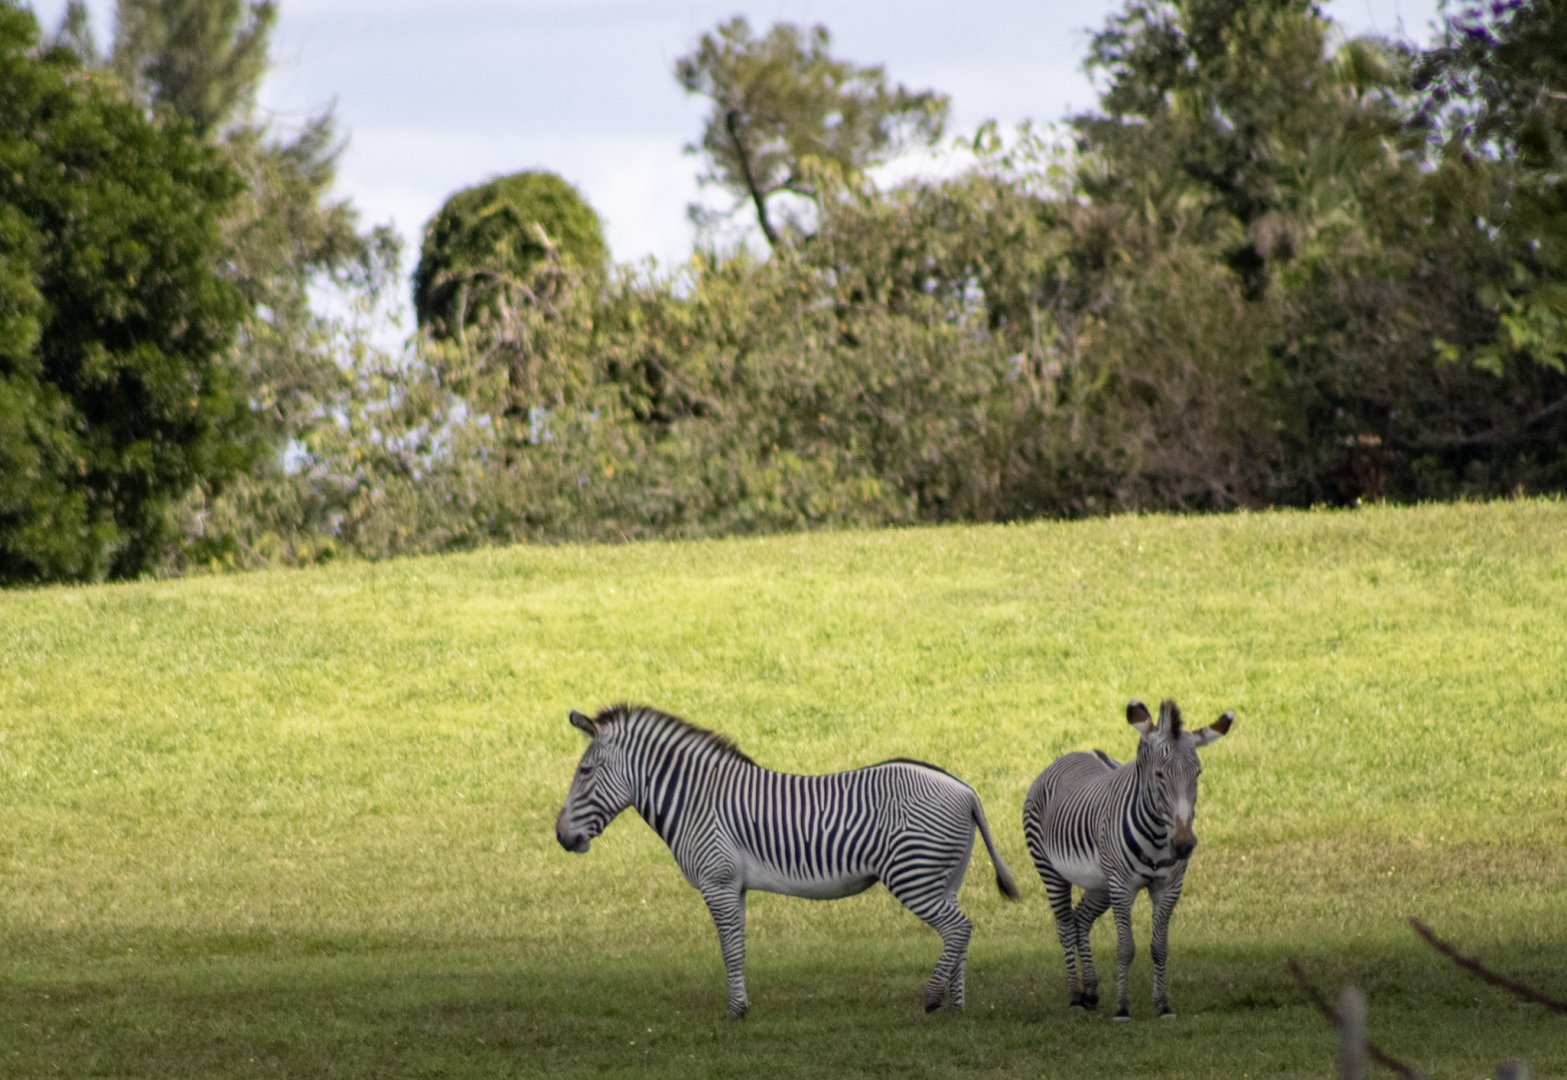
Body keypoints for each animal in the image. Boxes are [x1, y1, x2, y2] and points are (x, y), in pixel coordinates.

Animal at [555, 704, 1020, 1017]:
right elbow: (739, 946)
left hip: (914, 876)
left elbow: (728, 948)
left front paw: (735, 1011)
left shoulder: (717, 881)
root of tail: (965, 790)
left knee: (958, 928)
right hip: (944, 877)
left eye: (584, 772)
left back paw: (931, 998)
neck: (696, 801)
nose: (561, 837)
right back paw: (955, 1006)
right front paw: (742, 1004)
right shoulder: (734, 886)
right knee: (958, 934)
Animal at [1022, 698, 1233, 1020]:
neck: (1158, 836)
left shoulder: (1168, 888)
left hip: (1100, 884)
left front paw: (1163, 1005)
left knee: (1080, 919)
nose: (1184, 844)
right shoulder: (1122, 888)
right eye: (1159, 775)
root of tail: (1071, 754)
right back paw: (1074, 997)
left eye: (1197, 773)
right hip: (1051, 871)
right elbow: (1125, 947)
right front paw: (1122, 1007)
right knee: (1064, 926)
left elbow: (1159, 947)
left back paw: (1090, 992)